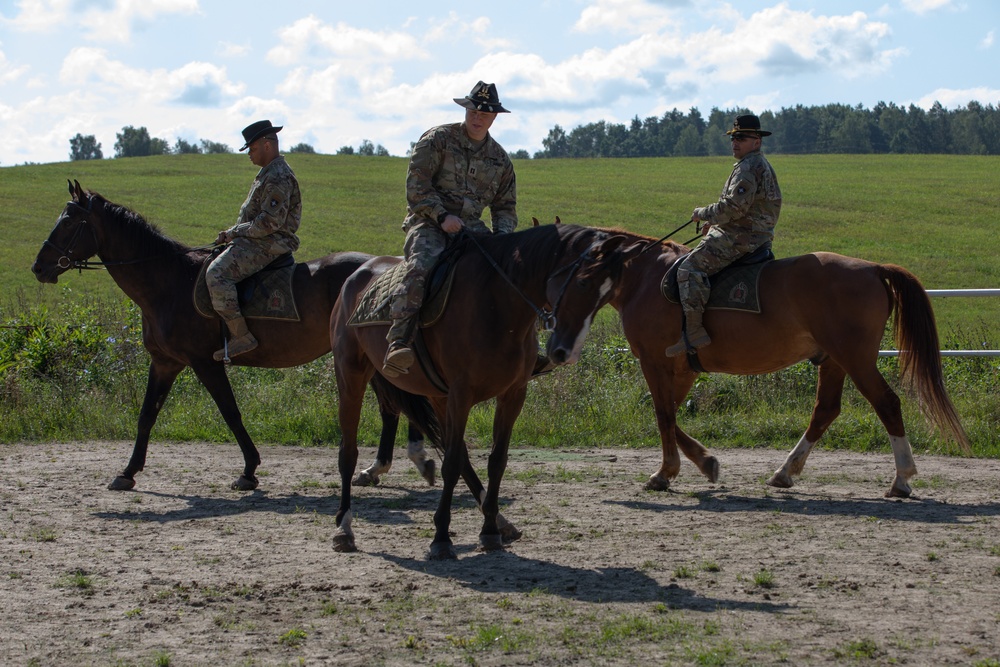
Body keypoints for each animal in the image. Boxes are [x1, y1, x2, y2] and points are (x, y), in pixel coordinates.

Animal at [32, 180, 426, 494]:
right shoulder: (164, 363)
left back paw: (381, 466)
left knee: (390, 407)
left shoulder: (204, 363)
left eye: (69, 222)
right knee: (392, 407)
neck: (167, 283)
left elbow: (230, 412)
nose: (38, 267)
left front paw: (249, 470)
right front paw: (127, 473)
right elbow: (146, 415)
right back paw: (379, 469)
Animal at [328, 224, 640, 560]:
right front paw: (441, 538)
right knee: (348, 452)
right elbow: (451, 464)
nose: (564, 352)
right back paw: (343, 528)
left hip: (438, 397)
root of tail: (356, 275)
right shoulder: (461, 394)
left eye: (607, 295)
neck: (497, 305)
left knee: (458, 452)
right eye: (582, 282)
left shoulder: (512, 394)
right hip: (351, 377)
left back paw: (502, 523)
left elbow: (496, 460)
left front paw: (489, 530)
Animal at [600, 228, 968, 496]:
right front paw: (703, 462)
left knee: (887, 403)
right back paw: (784, 472)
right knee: (825, 410)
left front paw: (666, 472)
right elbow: (669, 413)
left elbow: (663, 413)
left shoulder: (656, 362)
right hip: (834, 361)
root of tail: (874, 269)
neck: (646, 276)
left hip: (857, 360)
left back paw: (902, 478)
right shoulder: (683, 368)